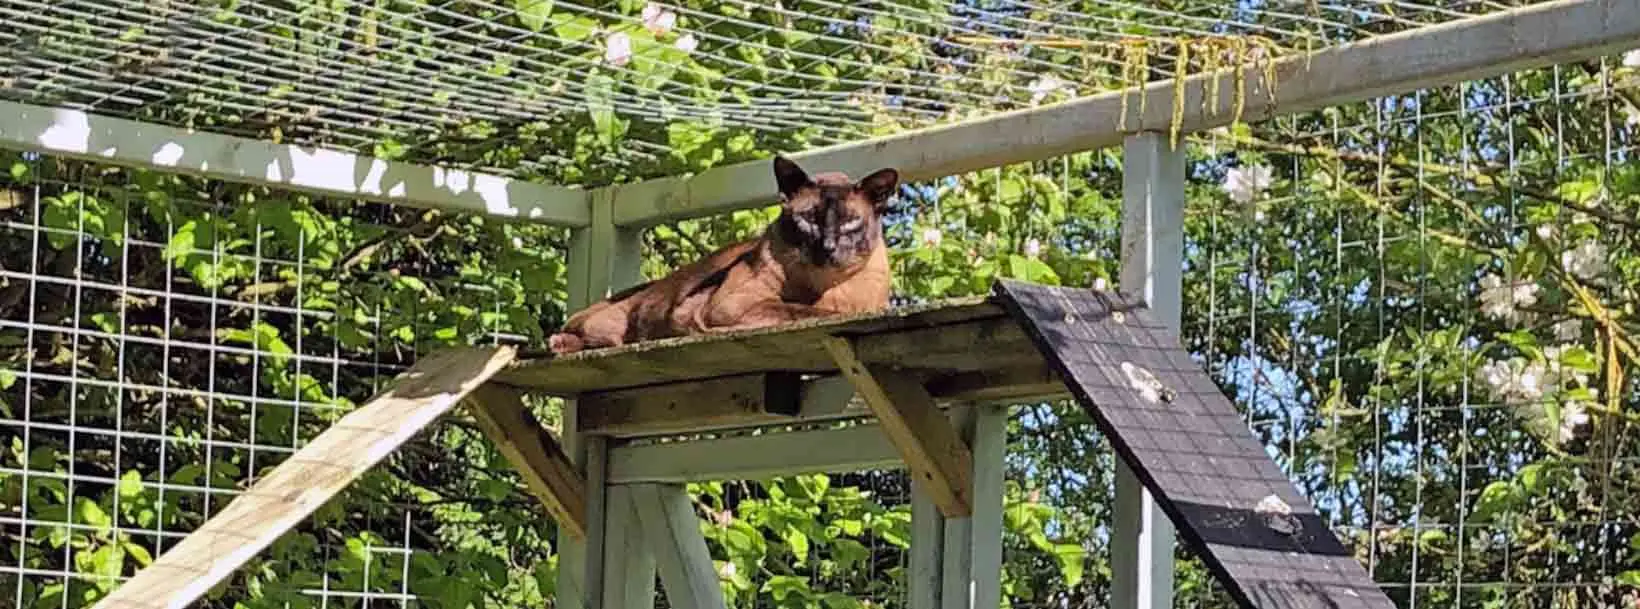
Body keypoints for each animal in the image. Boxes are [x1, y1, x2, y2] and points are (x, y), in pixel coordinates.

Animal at [551, 157, 898, 356]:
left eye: (849, 222)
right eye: (809, 219)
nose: (827, 246)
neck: (826, 287)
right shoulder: (731, 307)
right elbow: (806, 310)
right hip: (610, 325)